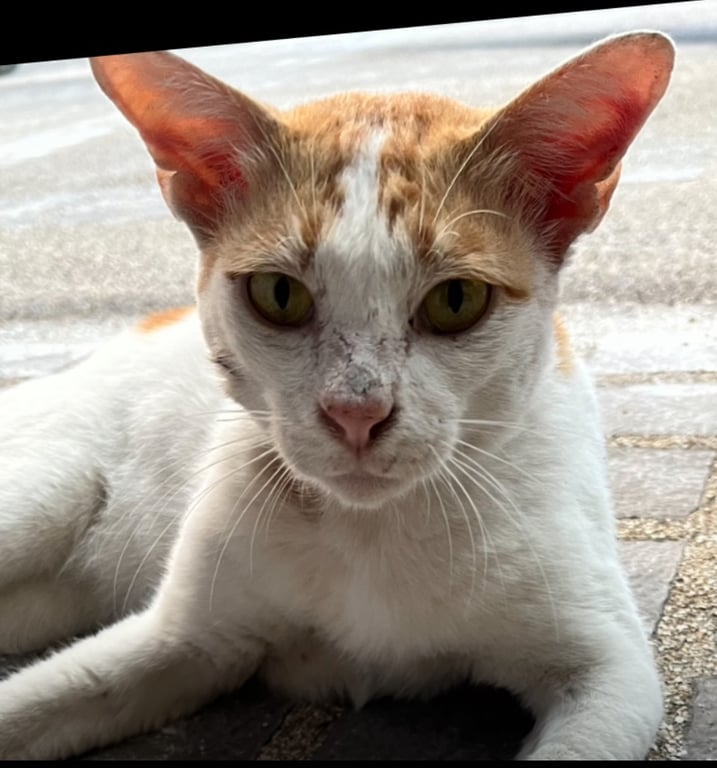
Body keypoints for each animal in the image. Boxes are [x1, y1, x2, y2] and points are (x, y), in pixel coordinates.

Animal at [0, 31, 674, 759]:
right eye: (278, 294)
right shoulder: (186, 641)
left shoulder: (609, 673)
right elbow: (34, 703)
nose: (357, 413)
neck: (367, 532)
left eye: (456, 300)